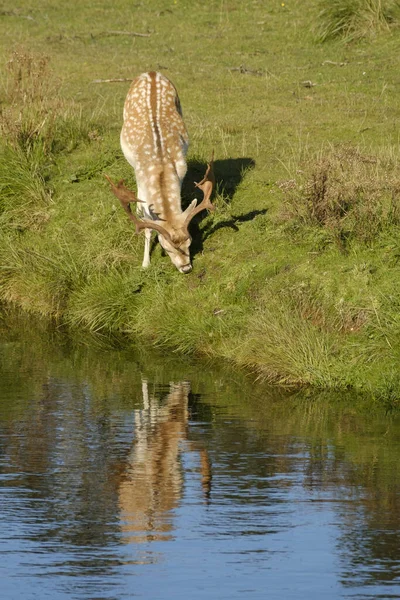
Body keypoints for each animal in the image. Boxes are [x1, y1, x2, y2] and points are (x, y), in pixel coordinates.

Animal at [104, 71, 214, 274]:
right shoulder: (140, 178)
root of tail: (152, 72)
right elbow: (146, 221)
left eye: (189, 242)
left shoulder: (181, 171)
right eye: (166, 247)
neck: (160, 165)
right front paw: (145, 263)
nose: (186, 268)